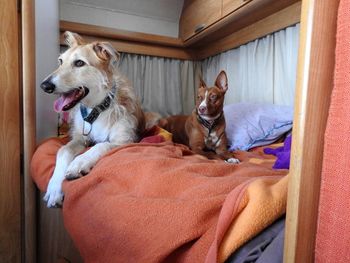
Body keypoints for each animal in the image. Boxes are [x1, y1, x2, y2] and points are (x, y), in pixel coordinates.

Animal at [40, 31, 144, 208]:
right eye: (60, 61)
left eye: (79, 63)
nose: (44, 86)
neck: (97, 109)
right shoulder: (80, 138)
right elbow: (63, 150)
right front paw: (54, 188)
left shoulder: (125, 141)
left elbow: (102, 145)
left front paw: (79, 163)